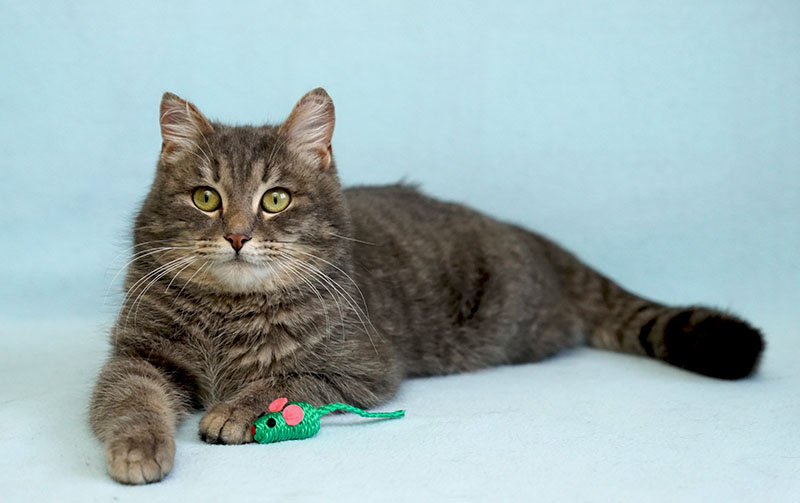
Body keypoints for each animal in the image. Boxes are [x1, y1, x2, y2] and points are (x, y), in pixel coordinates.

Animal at [90, 88, 764, 484]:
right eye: (206, 198)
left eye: (275, 199)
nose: (236, 235)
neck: (227, 313)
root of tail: (538, 240)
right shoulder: (140, 355)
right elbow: (130, 400)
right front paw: (139, 449)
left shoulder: (361, 366)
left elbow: (284, 378)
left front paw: (237, 408)